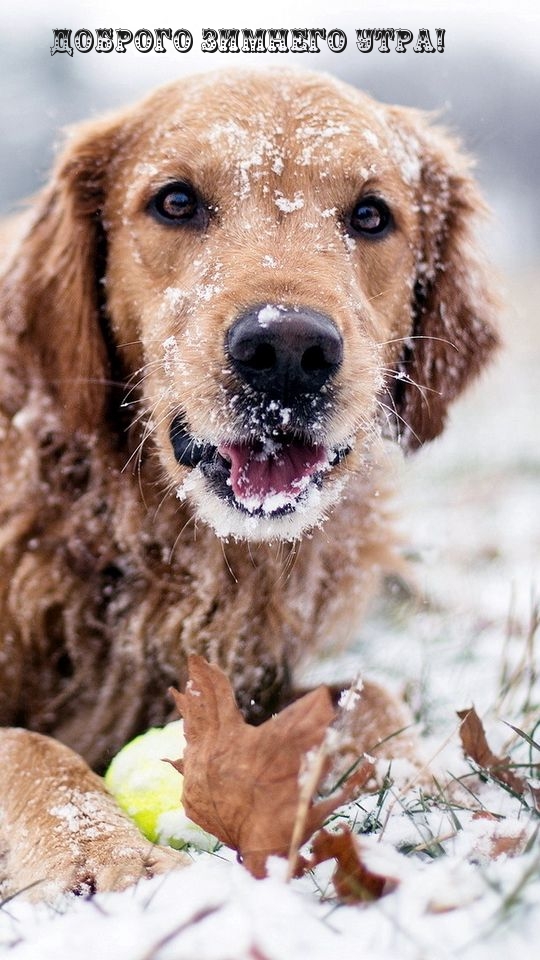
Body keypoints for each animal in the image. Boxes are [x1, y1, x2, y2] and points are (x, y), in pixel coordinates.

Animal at [0, 69, 498, 900]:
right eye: (175, 201)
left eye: (371, 214)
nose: (288, 349)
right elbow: (27, 746)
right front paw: (106, 854)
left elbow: (369, 695)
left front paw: (428, 787)